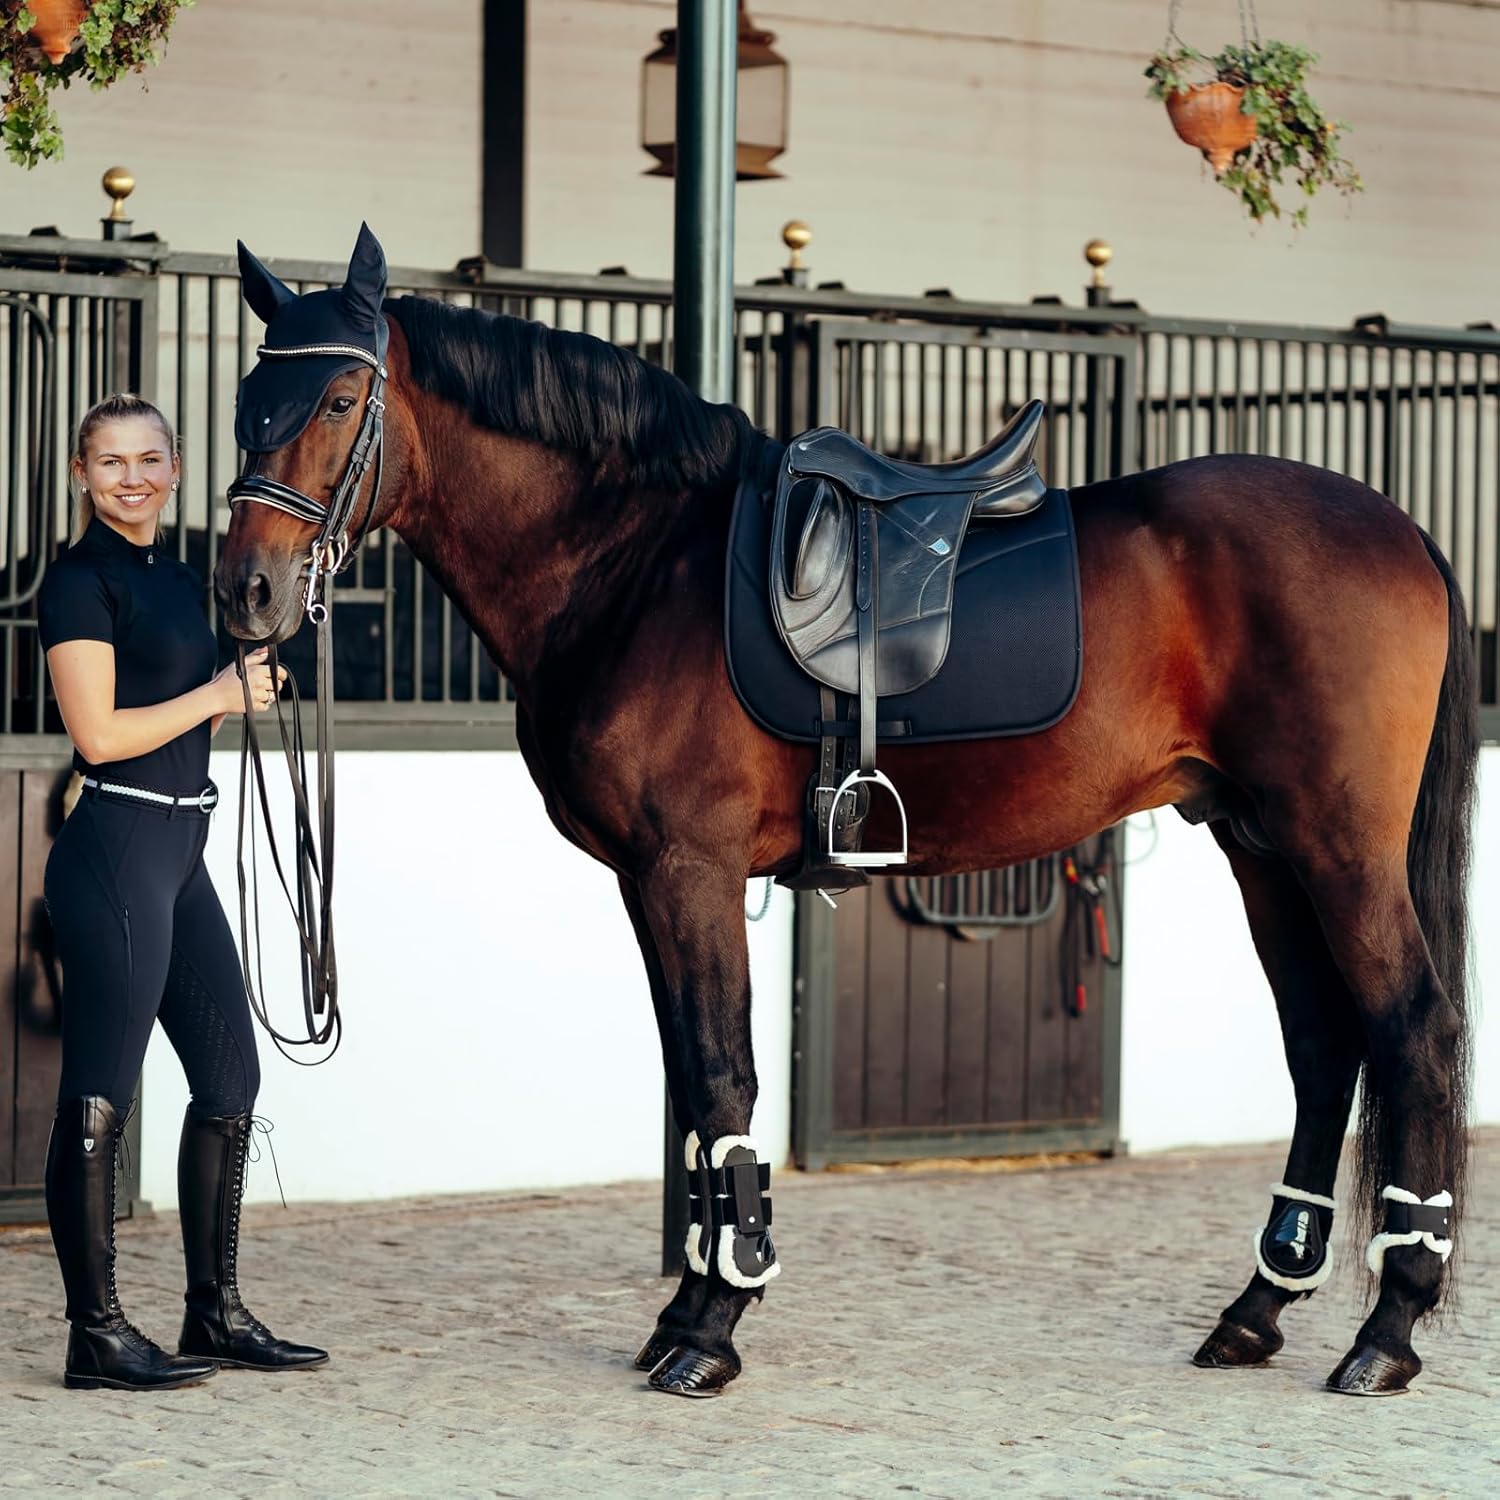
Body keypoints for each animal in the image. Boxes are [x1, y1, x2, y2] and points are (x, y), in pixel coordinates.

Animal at [215, 229, 1476, 1399]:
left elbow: (720, 1078)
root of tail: (1403, 531)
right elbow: (690, 1084)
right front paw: (684, 1311)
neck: (634, 562)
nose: (245, 591)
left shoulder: (689, 869)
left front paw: (712, 1331)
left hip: (1338, 846)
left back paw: (1385, 1332)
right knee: (1324, 1043)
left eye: (339, 399)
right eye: (245, 401)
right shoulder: (647, 881)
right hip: (1261, 845)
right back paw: (1256, 1311)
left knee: (1413, 1029)